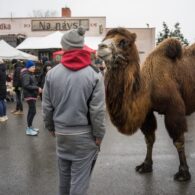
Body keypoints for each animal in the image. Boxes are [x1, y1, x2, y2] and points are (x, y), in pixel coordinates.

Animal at [96, 27, 193, 181]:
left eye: (123, 42)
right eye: (104, 39)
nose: (101, 47)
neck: (148, 88)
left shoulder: (174, 109)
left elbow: (178, 140)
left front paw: (183, 173)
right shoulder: (147, 112)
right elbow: (149, 139)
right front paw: (146, 165)